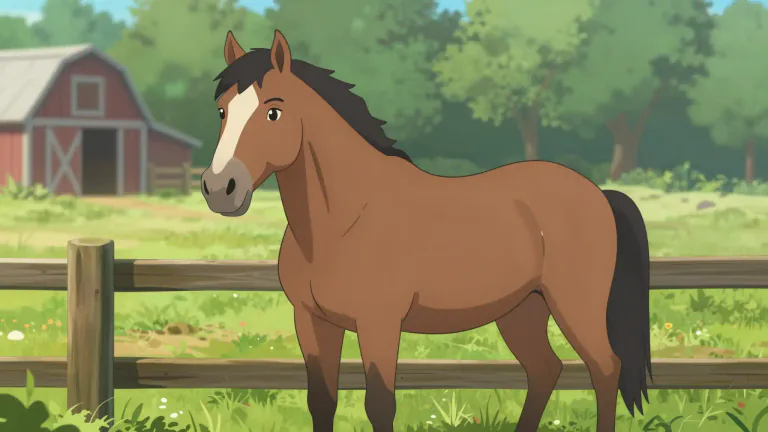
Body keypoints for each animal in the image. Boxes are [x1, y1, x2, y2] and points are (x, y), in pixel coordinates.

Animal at [200, 29, 652, 432]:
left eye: (273, 111)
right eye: (222, 110)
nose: (221, 188)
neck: (342, 221)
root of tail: (598, 194)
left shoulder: (379, 324)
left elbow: (380, 405)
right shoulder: (311, 321)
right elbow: (322, 401)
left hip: (575, 307)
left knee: (604, 368)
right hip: (522, 309)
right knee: (545, 370)